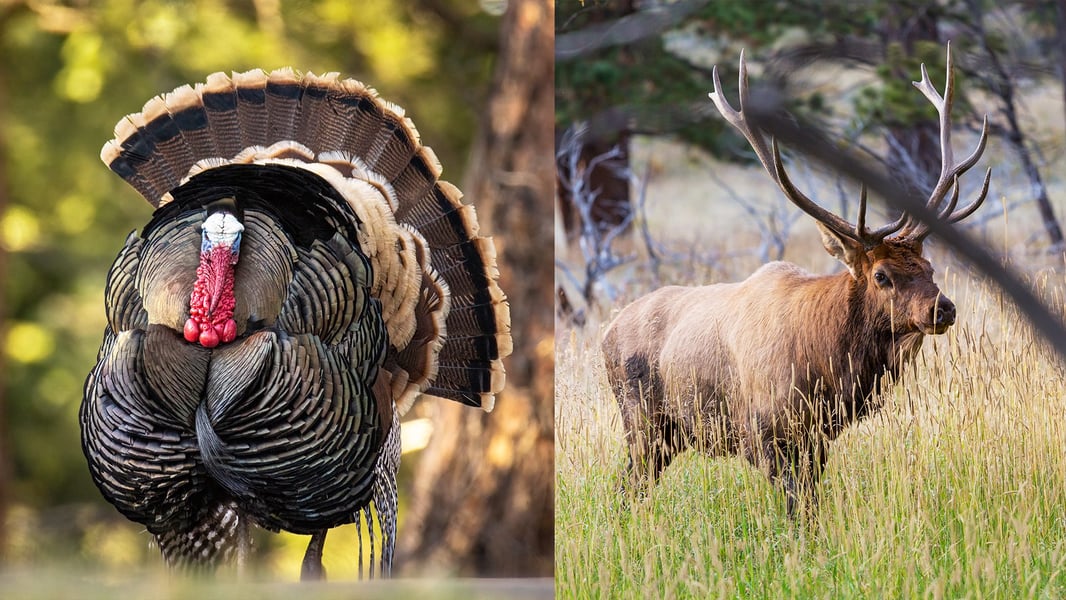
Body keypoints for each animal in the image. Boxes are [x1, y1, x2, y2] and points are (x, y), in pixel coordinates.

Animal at [602, 45, 990, 517]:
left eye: (930, 267)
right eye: (882, 275)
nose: (943, 308)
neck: (829, 363)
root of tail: (606, 332)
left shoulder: (818, 436)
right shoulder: (765, 431)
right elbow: (798, 510)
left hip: (670, 434)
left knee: (629, 488)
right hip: (641, 421)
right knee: (627, 486)